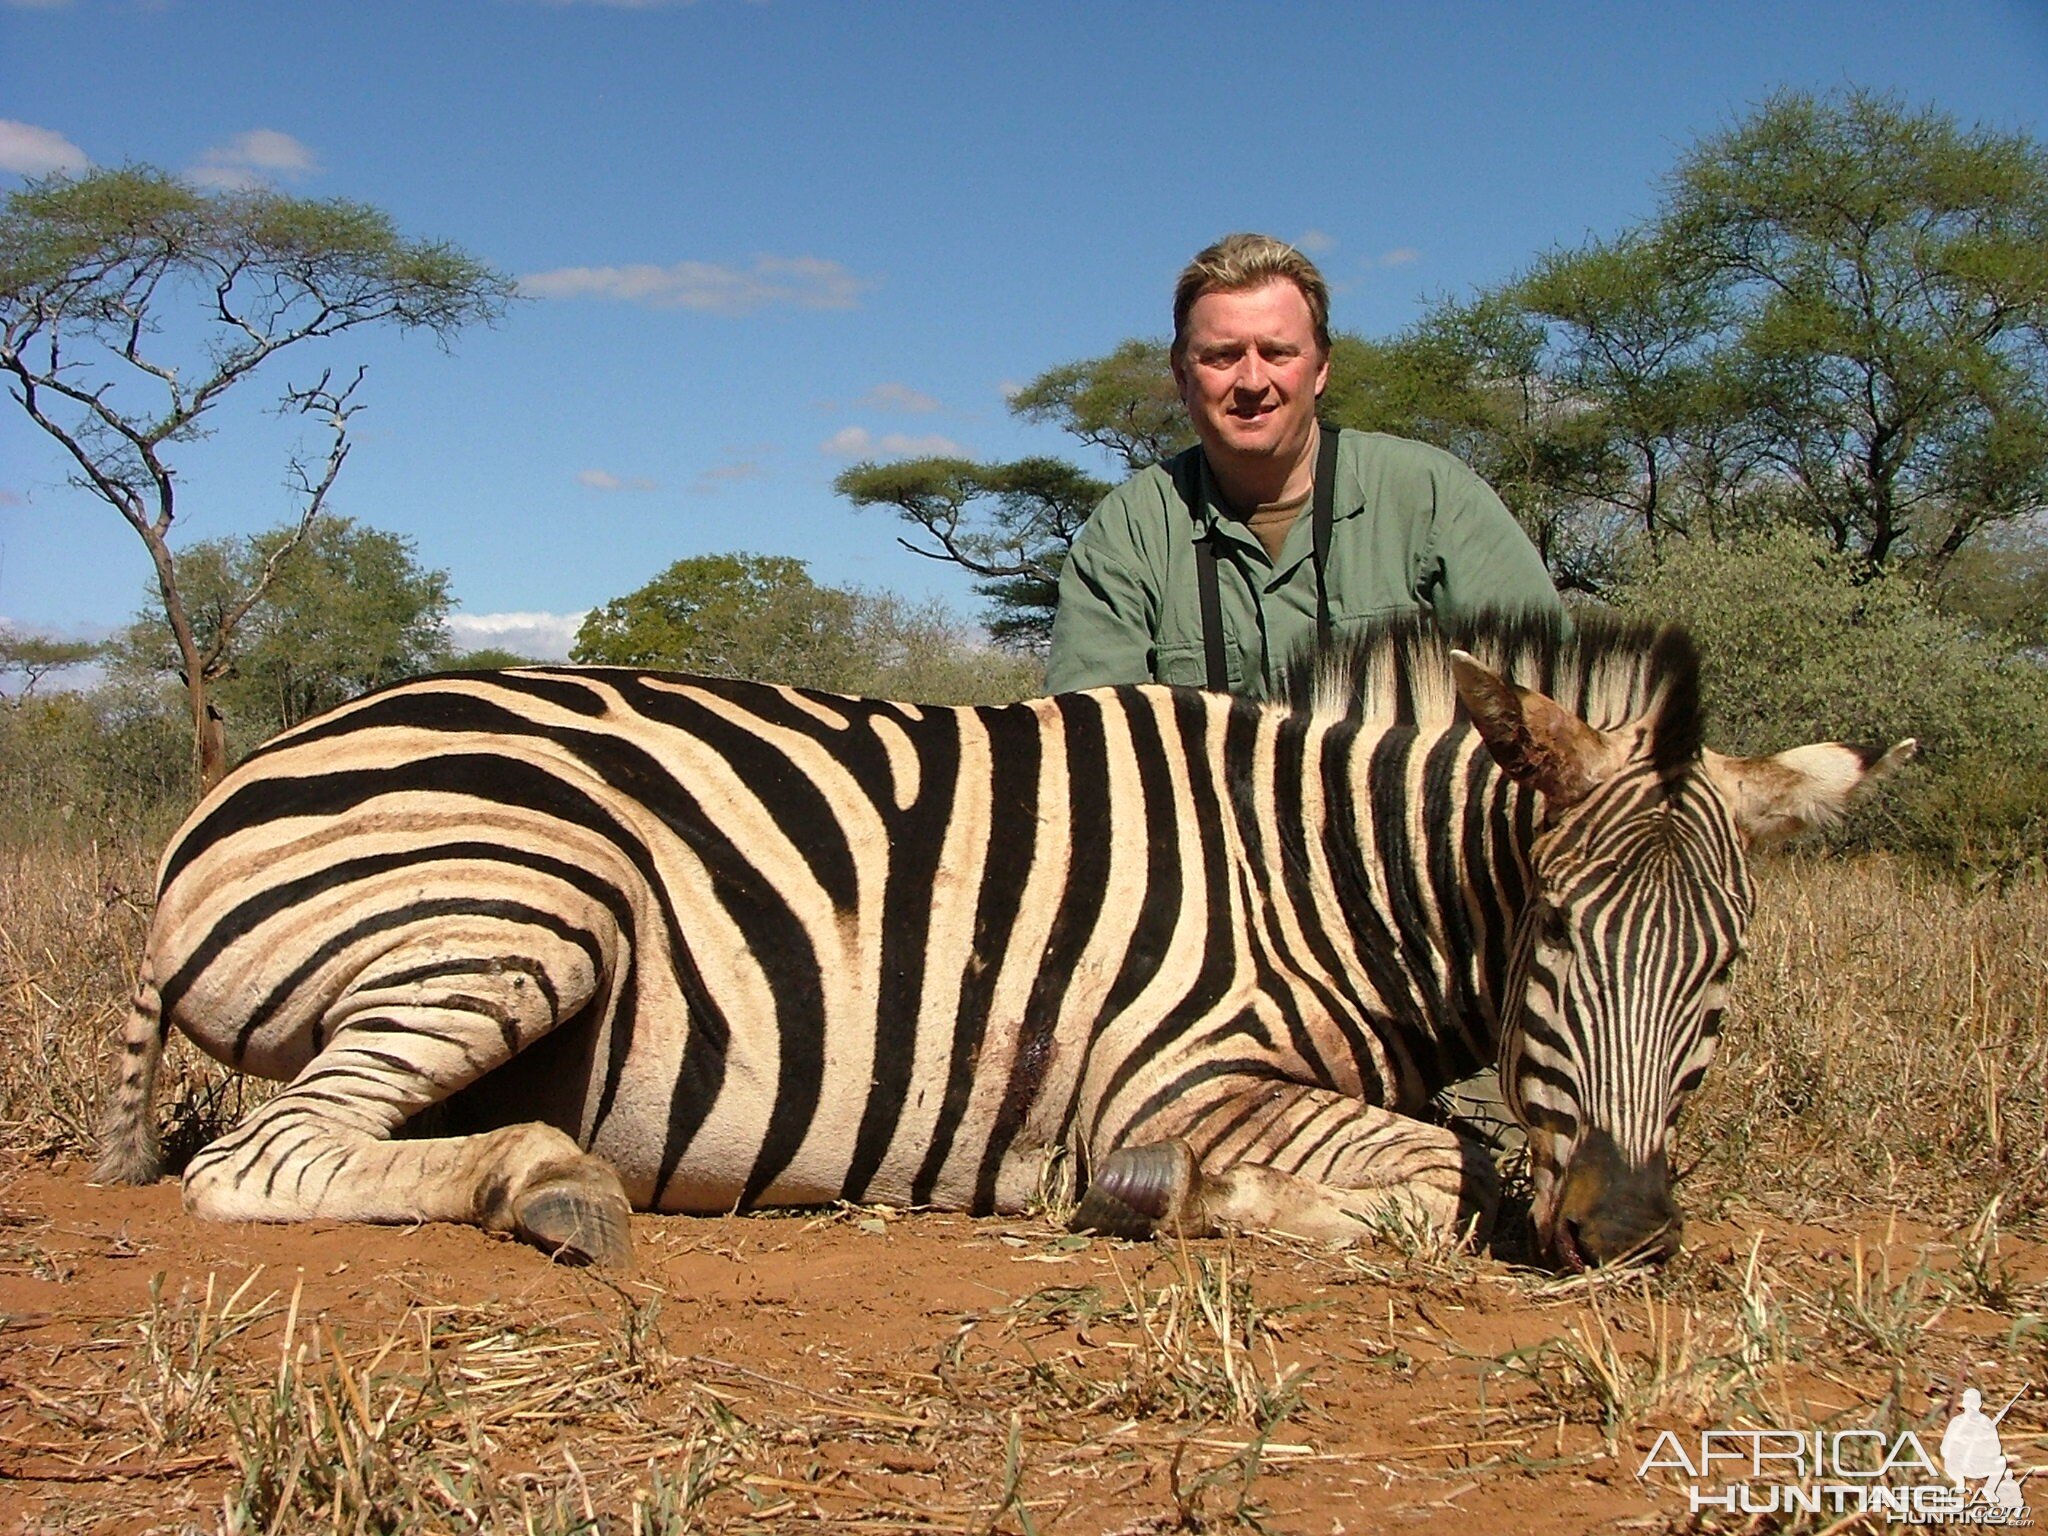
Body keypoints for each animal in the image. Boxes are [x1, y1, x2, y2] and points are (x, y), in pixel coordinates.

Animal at [88, 614, 1908, 1277]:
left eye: (1725, 969)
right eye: (1551, 935)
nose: (1629, 1231)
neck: (1320, 875)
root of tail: (209, 804)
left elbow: (1460, 1153)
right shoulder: (1173, 1075)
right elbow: (1445, 1174)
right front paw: (1174, 1204)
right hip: (525, 902)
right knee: (263, 1161)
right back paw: (552, 1186)